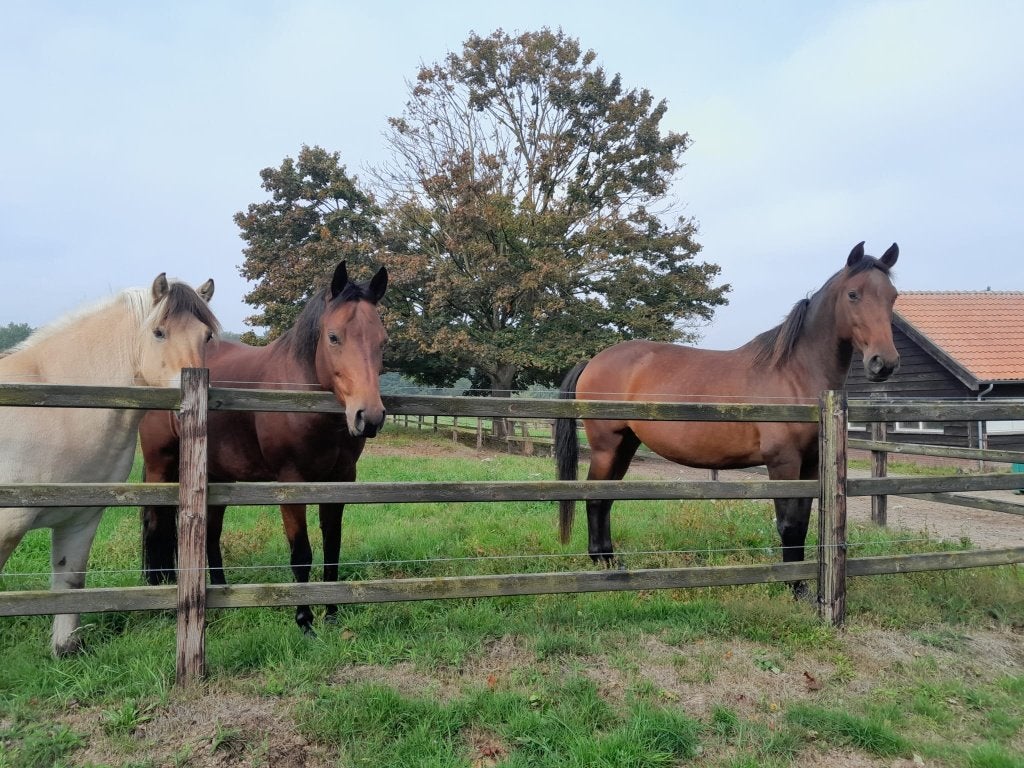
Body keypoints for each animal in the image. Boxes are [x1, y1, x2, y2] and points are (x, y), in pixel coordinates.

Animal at [0, 274, 219, 656]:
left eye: (205, 335)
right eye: (159, 332)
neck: (55, 408)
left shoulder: (80, 518)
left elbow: (70, 581)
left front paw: (66, 649)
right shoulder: (6, 525)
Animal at [139, 261, 388, 635]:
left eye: (383, 341)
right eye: (333, 337)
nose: (368, 417)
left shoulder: (342, 479)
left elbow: (333, 547)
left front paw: (331, 614)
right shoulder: (291, 482)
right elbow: (301, 553)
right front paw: (305, 621)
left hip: (217, 476)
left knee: (210, 534)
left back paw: (220, 594)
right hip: (160, 467)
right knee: (157, 528)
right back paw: (159, 599)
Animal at [555, 242, 900, 595]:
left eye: (892, 296)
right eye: (853, 295)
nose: (883, 363)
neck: (795, 373)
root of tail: (593, 361)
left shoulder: (811, 464)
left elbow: (802, 522)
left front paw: (800, 583)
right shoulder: (783, 462)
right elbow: (789, 523)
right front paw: (793, 584)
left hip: (626, 445)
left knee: (606, 498)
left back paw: (610, 561)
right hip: (606, 447)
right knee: (594, 499)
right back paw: (602, 564)